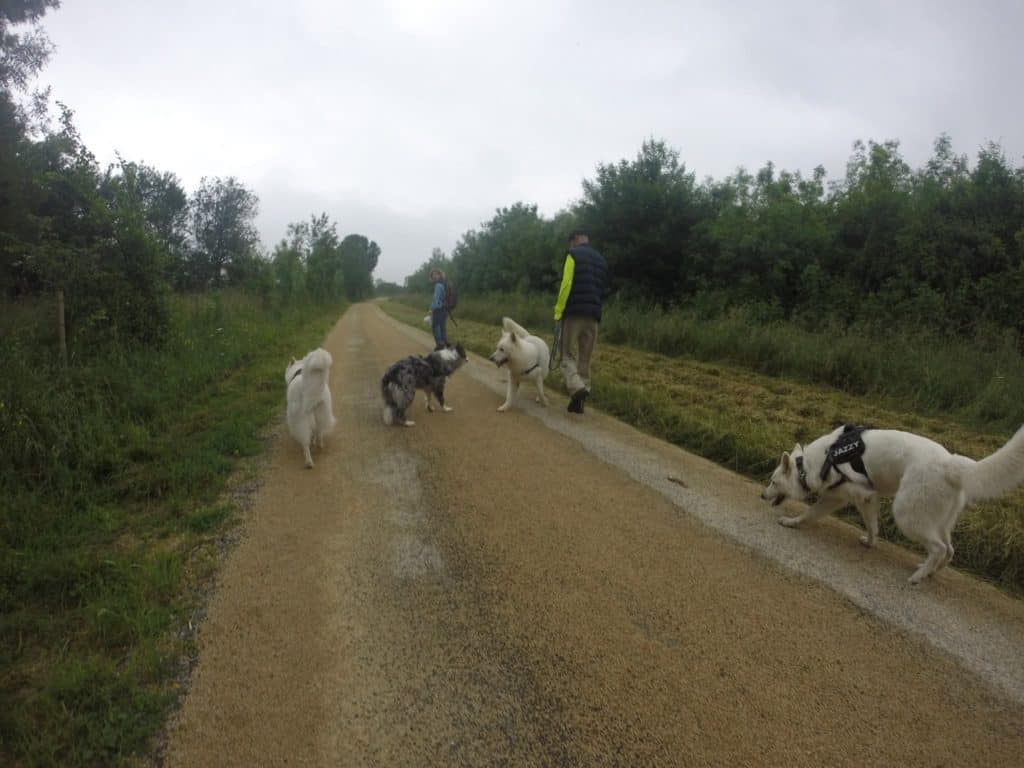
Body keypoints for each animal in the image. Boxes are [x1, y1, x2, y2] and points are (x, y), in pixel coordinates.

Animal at [761, 423, 1024, 584]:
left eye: (773, 482)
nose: (762, 496)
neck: (814, 463)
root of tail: (951, 464)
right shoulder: (859, 498)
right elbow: (872, 526)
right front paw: (869, 542)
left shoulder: (853, 495)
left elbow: (810, 513)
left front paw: (792, 521)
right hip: (937, 521)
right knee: (949, 549)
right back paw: (931, 571)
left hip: (907, 514)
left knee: (939, 548)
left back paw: (918, 577)